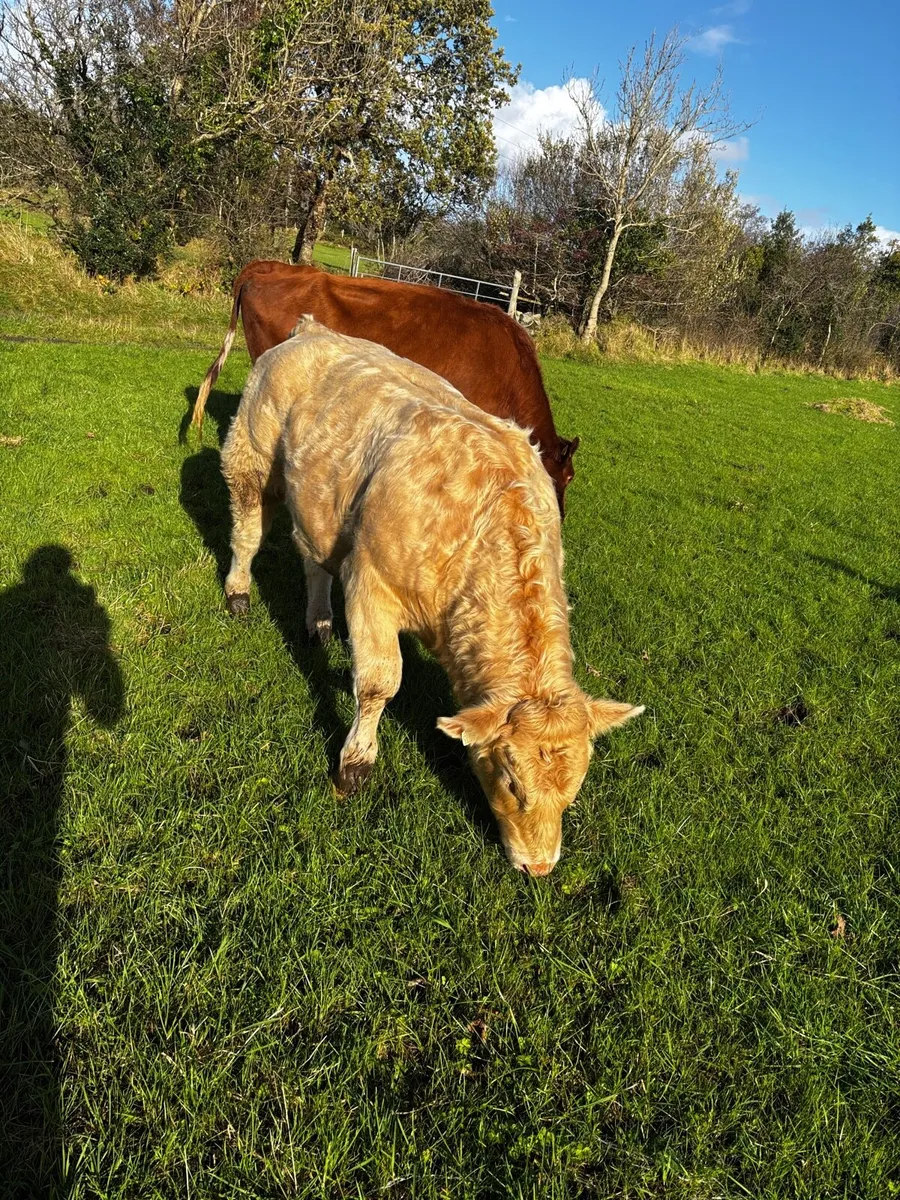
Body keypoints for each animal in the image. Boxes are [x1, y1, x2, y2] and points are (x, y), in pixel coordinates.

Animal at [219, 318, 641, 873]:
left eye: (573, 790)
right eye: (512, 782)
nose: (539, 867)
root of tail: (311, 330)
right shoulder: (370, 583)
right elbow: (379, 684)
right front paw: (354, 765)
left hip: (320, 505)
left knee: (312, 559)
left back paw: (319, 622)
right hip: (250, 456)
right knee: (248, 530)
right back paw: (238, 592)